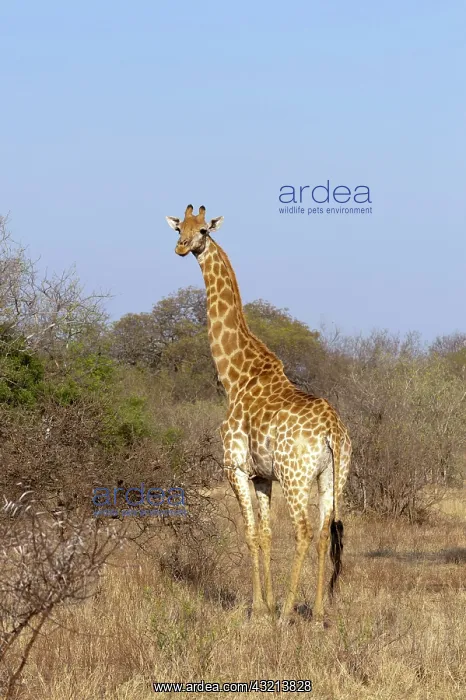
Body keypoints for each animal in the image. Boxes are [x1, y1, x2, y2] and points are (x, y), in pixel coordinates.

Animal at [165, 204, 352, 623]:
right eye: (179, 227)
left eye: (203, 230)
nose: (181, 247)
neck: (235, 376)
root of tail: (333, 431)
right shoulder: (263, 475)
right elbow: (265, 534)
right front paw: (265, 604)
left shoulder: (234, 467)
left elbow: (250, 534)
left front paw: (258, 608)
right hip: (334, 477)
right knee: (323, 533)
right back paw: (318, 612)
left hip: (296, 477)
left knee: (303, 531)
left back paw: (287, 612)